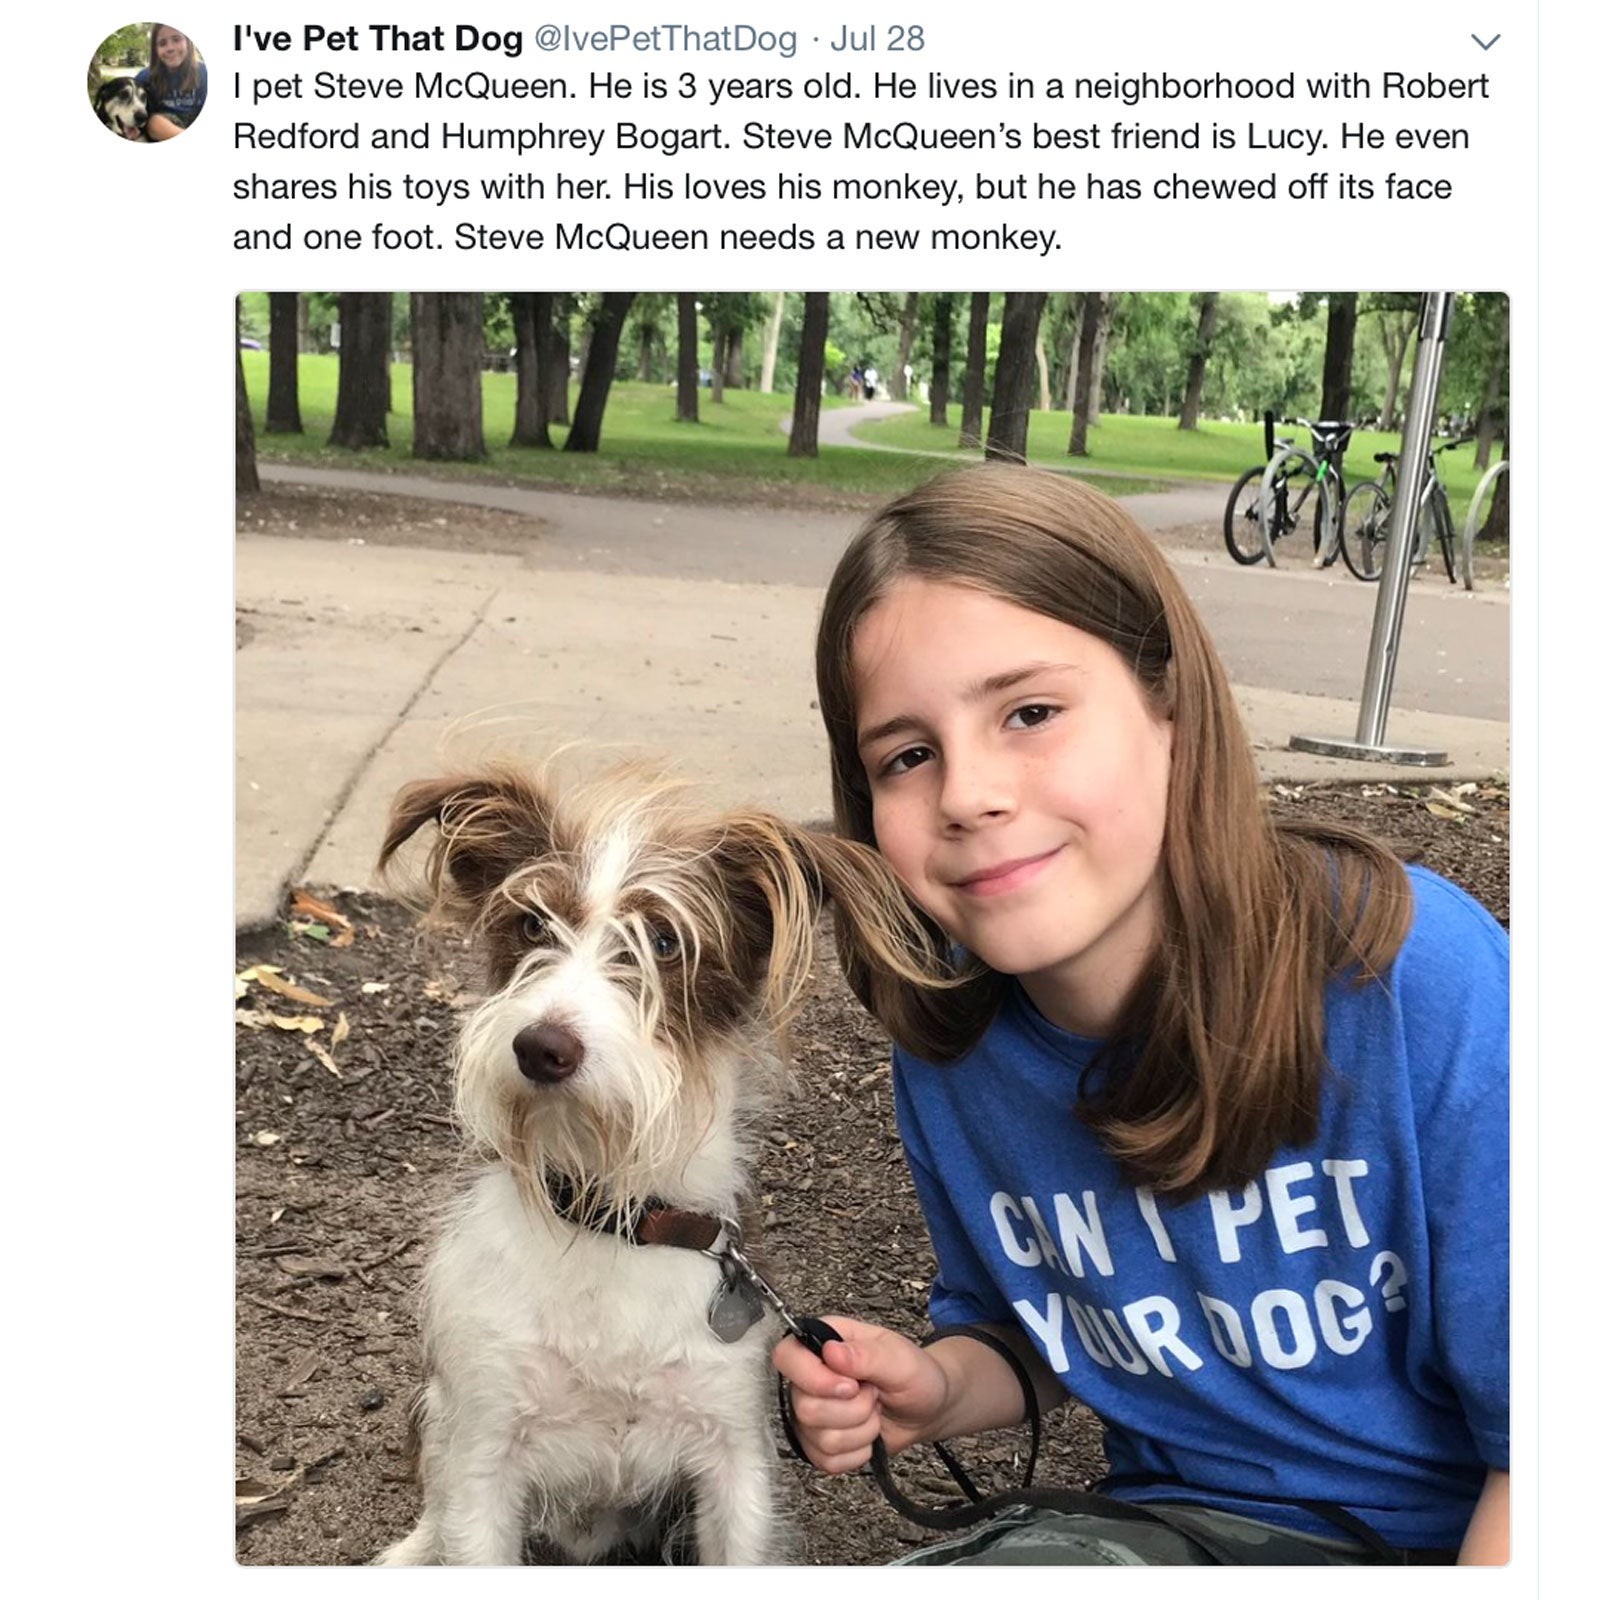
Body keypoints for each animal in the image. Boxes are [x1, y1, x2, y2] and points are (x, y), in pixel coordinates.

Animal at [369, 761, 940, 1561]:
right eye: (532, 925)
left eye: (665, 942)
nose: (540, 1047)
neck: (616, 1222)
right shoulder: (484, 1452)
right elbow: (469, 1515)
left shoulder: (734, 1455)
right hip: (441, 1417)